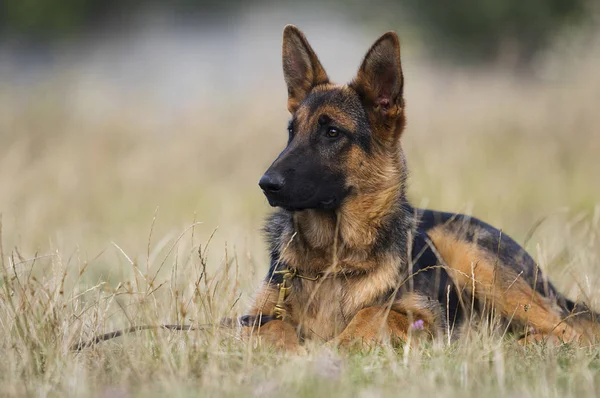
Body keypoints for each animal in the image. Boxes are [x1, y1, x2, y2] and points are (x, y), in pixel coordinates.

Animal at [246, 24, 596, 352]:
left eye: (332, 132)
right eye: (292, 132)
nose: (266, 184)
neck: (334, 261)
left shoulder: (426, 317)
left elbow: (373, 312)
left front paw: (332, 347)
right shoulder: (250, 318)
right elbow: (272, 325)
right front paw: (293, 352)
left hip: (469, 254)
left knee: (570, 332)